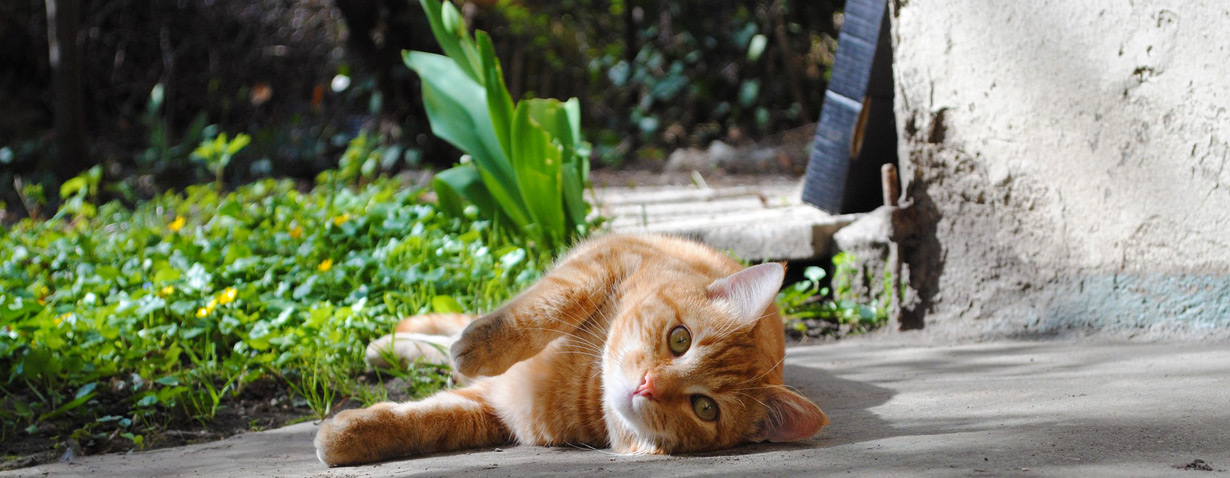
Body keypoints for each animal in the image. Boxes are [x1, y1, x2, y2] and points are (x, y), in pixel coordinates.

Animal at [312, 232, 831, 464]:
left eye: (705, 408)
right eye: (679, 339)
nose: (647, 386)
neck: (585, 381)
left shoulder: (492, 409)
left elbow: (428, 420)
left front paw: (347, 436)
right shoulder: (602, 262)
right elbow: (548, 305)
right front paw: (482, 344)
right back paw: (397, 342)